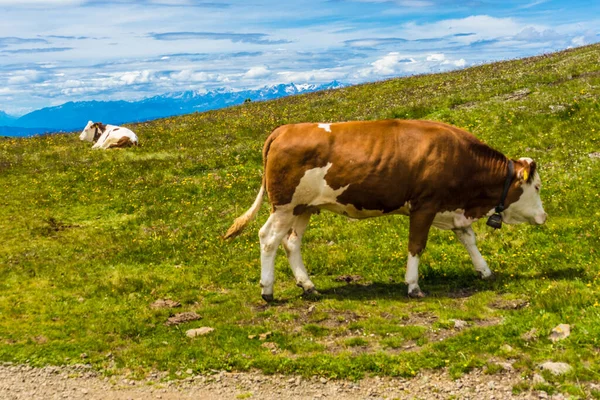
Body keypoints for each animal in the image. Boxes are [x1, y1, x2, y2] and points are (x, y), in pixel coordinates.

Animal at [223, 119, 548, 300]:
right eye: (537, 187)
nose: (544, 216)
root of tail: (284, 129)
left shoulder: (452, 209)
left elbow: (468, 239)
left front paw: (485, 271)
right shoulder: (424, 205)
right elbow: (416, 245)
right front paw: (413, 286)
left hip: (304, 207)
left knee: (291, 242)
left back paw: (309, 286)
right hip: (284, 206)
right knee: (269, 239)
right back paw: (268, 291)